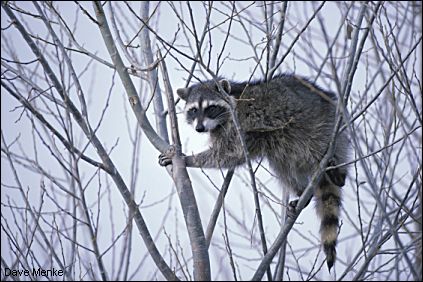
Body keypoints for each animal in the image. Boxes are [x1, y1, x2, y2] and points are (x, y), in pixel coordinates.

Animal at [159, 73, 352, 270]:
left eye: (210, 108)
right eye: (193, 110)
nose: (199, 128)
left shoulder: (240, 124)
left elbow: (229, 153)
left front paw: (188, 159)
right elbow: (231, 155)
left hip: (323, 127)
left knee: (317, 146)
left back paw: (338, 173)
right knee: (281, 163)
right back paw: (301, 191)